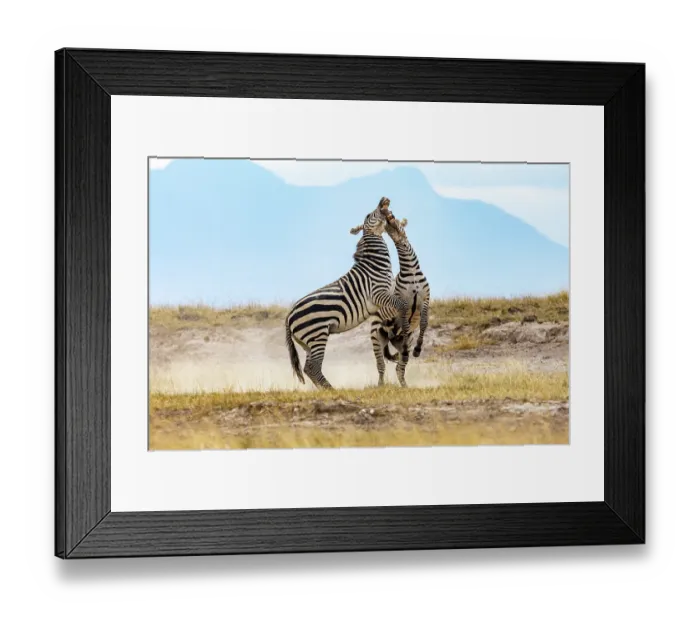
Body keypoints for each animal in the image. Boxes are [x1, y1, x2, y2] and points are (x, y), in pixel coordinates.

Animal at [285, 198, 411, 390]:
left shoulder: (383, 299)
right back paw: (330, 390)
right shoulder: (378, 294)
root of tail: (289, 315)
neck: (375, 264)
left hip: (307, 342)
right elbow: (402, 305)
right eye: (369, 214)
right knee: (313, 366)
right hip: (317, 334)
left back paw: (323, 389)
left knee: (308, 367)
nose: (383, 199)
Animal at [352, 215, 430, 387]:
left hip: (399, 343)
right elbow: (406, 324)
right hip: (376, 338)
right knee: (381, 365)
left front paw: (418, 349)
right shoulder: (401, 302)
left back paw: (405, 386)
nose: (390, 220)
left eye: (399, 225)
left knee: (399, 368)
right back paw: (381, 386)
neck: (411, 272)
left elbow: (423, 323)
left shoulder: (425, 300)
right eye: (388, 229)